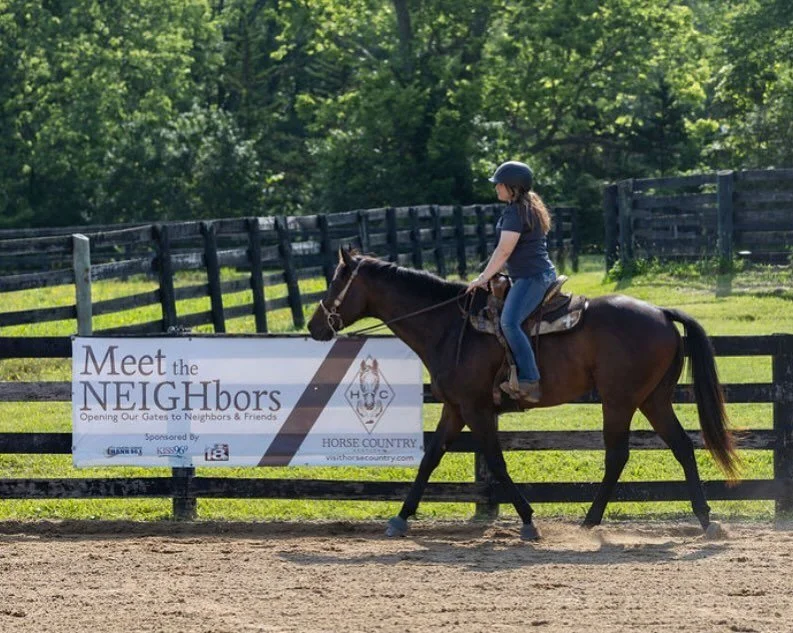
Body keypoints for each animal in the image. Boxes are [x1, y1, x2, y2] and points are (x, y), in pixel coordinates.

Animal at [307, 248, 738, 540]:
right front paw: (400, 517)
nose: (314, 326)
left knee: (617, 455)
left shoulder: (477, 409)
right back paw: (704, 518)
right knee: (682, 446)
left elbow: (497, 464)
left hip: (620, 401)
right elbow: (429, 460)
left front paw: (529, 520)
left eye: (336, 280)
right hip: (653, 399)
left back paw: (590, 521)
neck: (448, 326)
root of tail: (662, 313)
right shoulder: (455, 409)